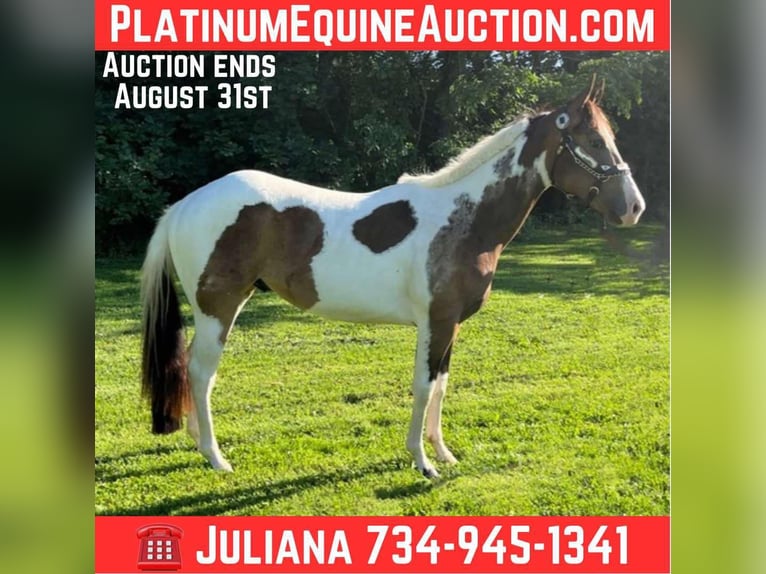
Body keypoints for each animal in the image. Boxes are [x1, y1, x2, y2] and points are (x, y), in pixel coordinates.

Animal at [140, 77, 645, 478]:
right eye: (593, 141)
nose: (634, 207)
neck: (465, 219)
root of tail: (184, 204)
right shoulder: (434, 322)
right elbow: (423, 386)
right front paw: (422, 462)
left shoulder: (450, 325)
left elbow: (441, 384)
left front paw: (444, 454)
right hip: (219, 308)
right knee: (202, 372)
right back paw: (216, 457)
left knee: (191, 368)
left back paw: (198, 443)